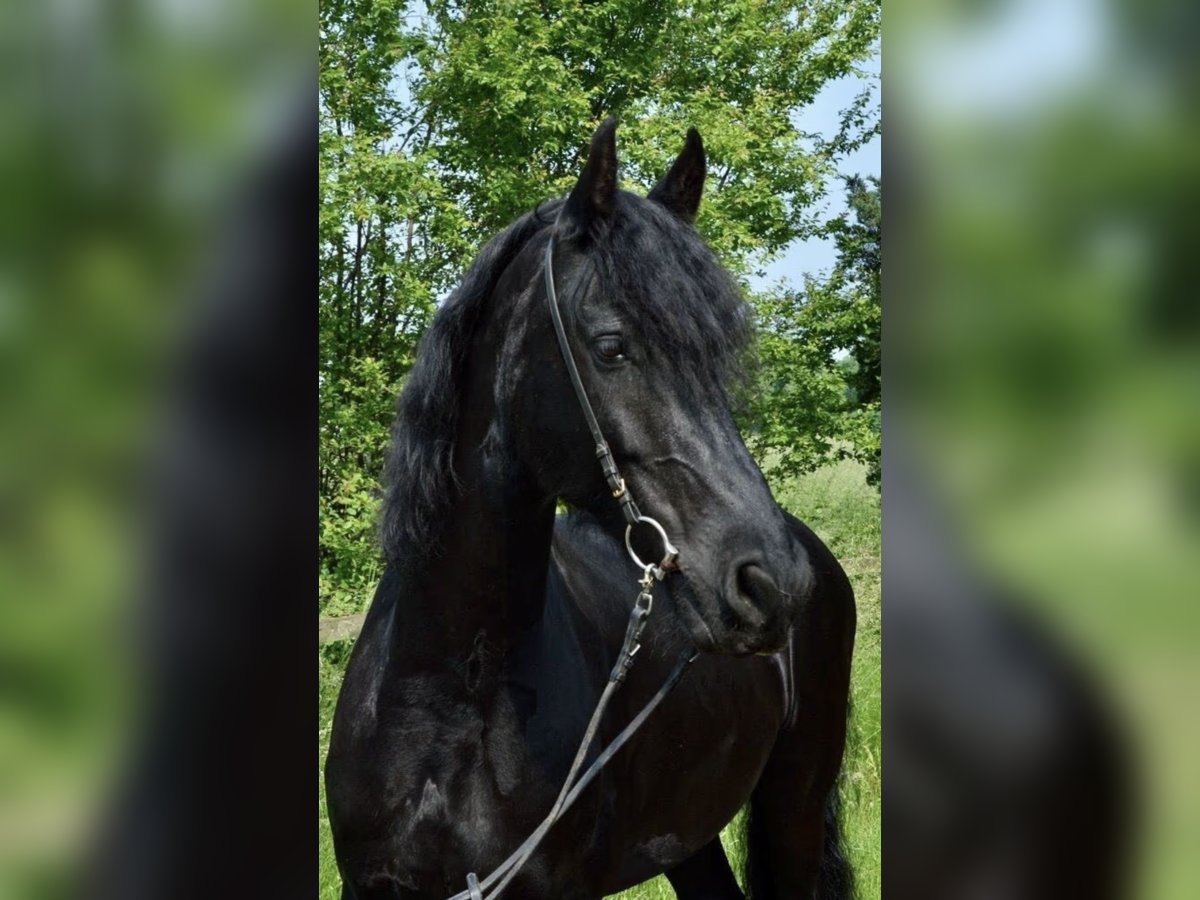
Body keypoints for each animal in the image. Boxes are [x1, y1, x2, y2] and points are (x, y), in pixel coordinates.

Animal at [325, 119, 857, 900]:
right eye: (611, 347)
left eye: (718, 358)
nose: (773, 585)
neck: (444, 694)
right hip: (688, 840)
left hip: (794, 808)